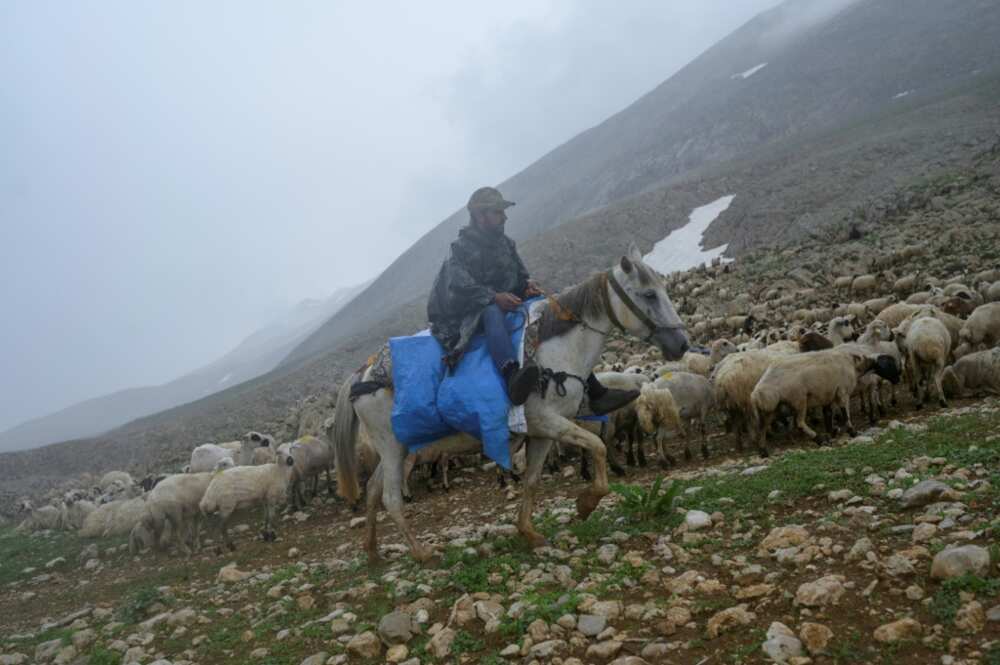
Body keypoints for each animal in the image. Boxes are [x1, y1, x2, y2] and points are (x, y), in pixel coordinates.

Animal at [334, 244, 688, 560]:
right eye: (649, 295)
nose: (681, 344)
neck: (555, 352)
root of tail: (361, 374)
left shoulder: (544, 432)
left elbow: (532, 480)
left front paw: (529, 531)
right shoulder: (547, 421)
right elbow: (598, 447)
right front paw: (586, 504)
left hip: (398, 448)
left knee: (373, 490)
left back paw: (372, 551)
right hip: (393, 447)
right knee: (390, 497)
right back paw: (422, 554)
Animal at [752, 344, 900, 454]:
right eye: (888, 365)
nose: (898, 379)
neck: (854, 365)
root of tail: (757, 393)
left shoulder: (828, 395)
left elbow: (828, 414)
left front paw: (832, 431)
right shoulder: (842, 391)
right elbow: (845, 413)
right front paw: (852, 431)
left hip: (771, 408)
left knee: (762, 427)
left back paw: (763, 450)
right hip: (799, 399)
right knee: (799, 423)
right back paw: (818, 438)